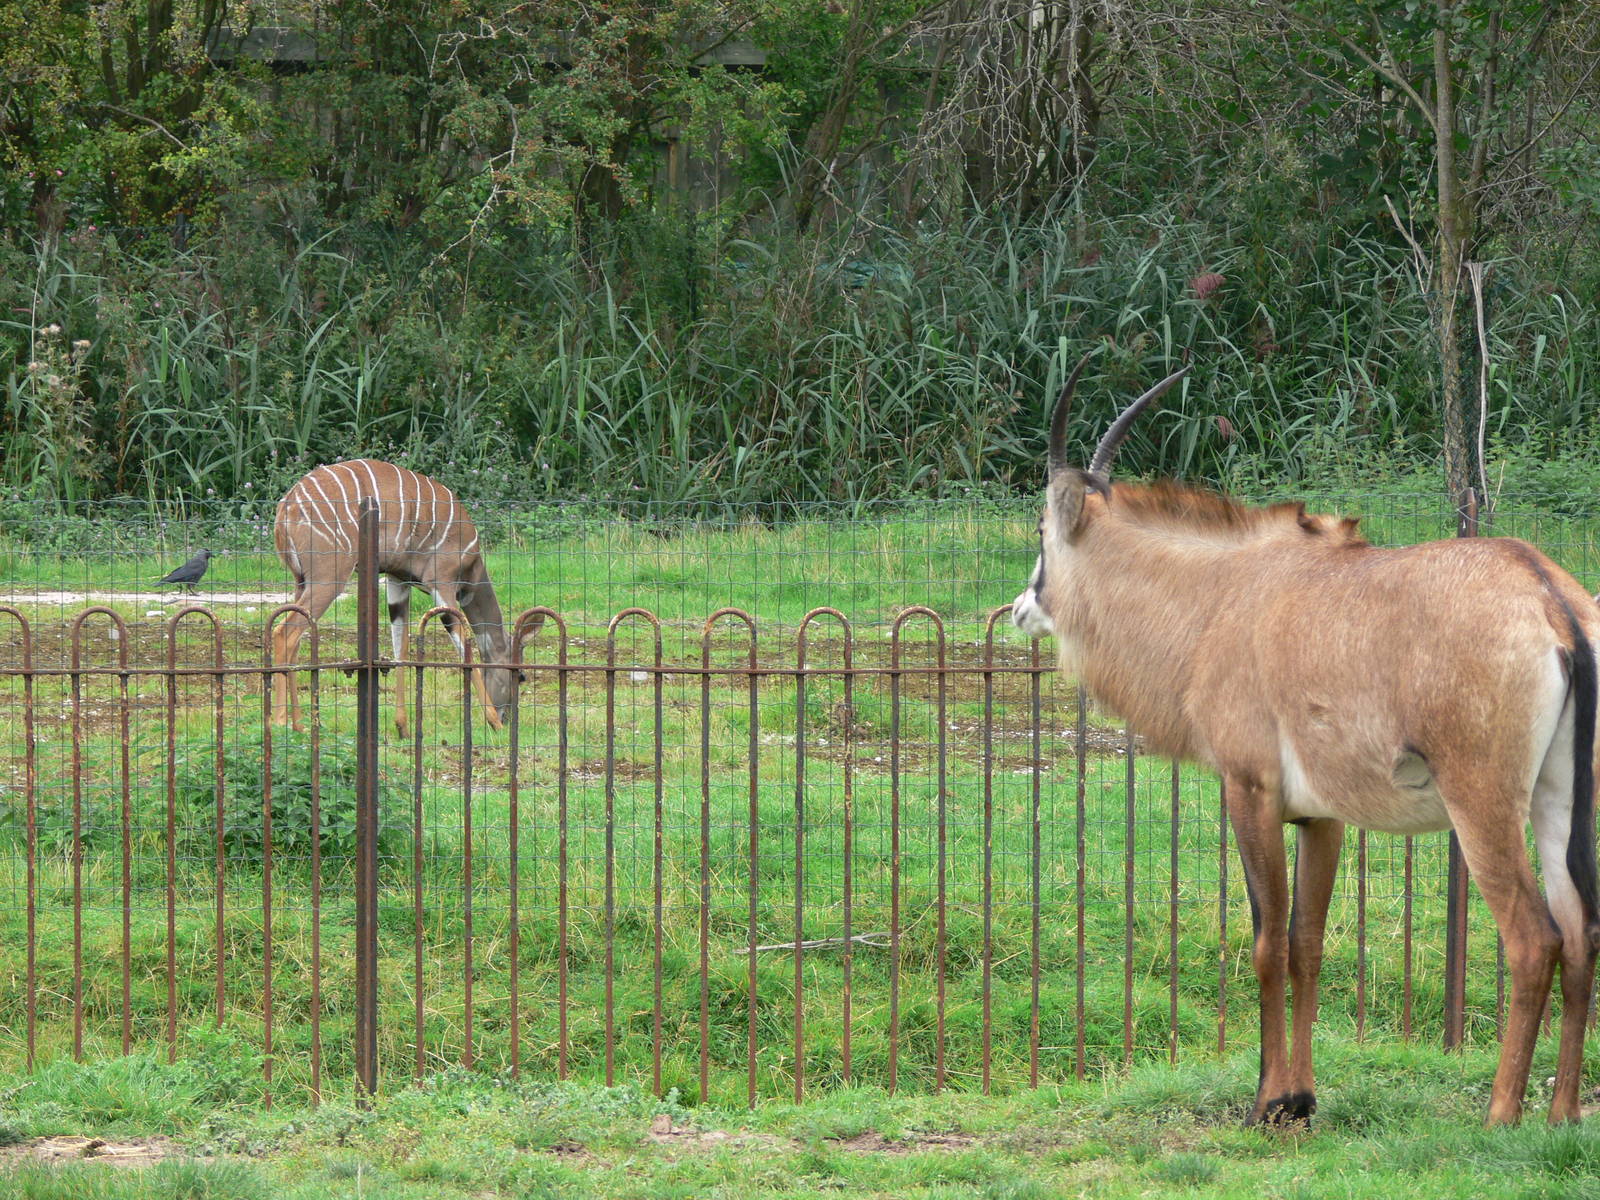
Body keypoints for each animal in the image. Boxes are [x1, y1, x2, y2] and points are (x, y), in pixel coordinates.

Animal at [272, 460, 534, 734]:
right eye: (521, 676)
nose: (507, 717)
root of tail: (287, 505)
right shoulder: (442, 581)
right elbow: (462, 642)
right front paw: (493, 720)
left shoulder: (398, 579)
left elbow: (401, 645)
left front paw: (402, 726)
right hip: (329, 576)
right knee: (284, 632)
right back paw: (279, 721)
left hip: (301, 579)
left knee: (296, 636)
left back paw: (300, 725)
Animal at [1013, 355, 1600, 1127]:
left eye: (1041, 531)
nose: (1020, 606)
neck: (1222, 597)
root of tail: (1549, 598)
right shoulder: (1323, 818)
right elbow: (1307, 944)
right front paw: (1302, 1096)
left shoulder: (1251, 791)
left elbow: (1266, 941)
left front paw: (1268, 1101)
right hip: (1558, 801)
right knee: (1582, 932)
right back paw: (1561, 1115)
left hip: (1483, 803)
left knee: (1535, 938)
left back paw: (1502, 1115)